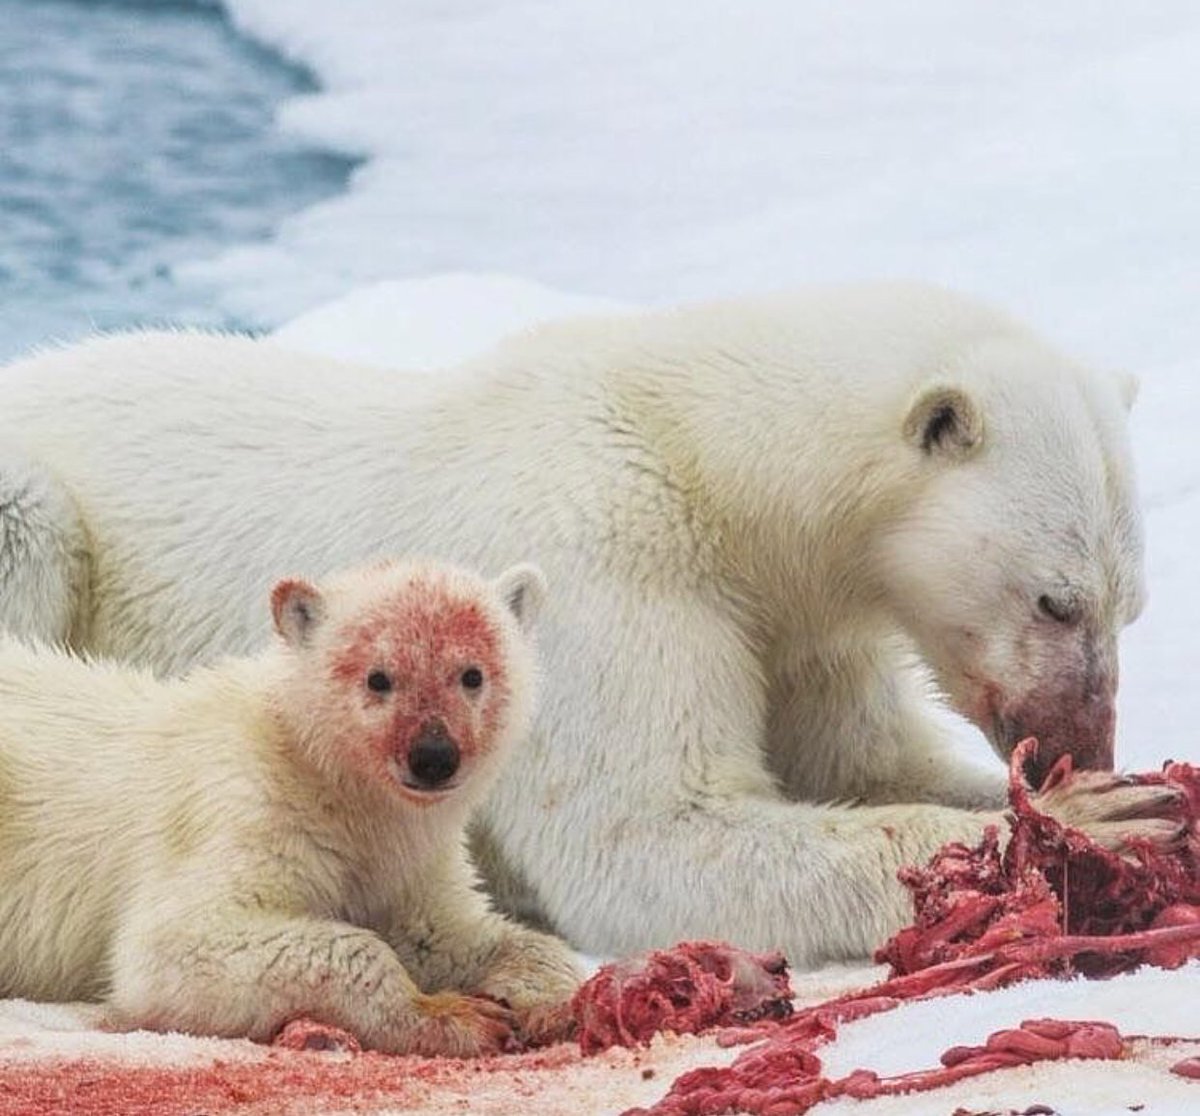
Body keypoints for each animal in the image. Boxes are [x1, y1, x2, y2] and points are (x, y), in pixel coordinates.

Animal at [0, 283, 1166, 960]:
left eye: (1133, 604)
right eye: (1055, 597)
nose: (1082, 741)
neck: (701, 453)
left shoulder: (797, 622)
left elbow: (861, 757)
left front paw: (1105, 795)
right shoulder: (603, 566)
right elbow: (647, 834)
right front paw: (1097, 824)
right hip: (43, 513)